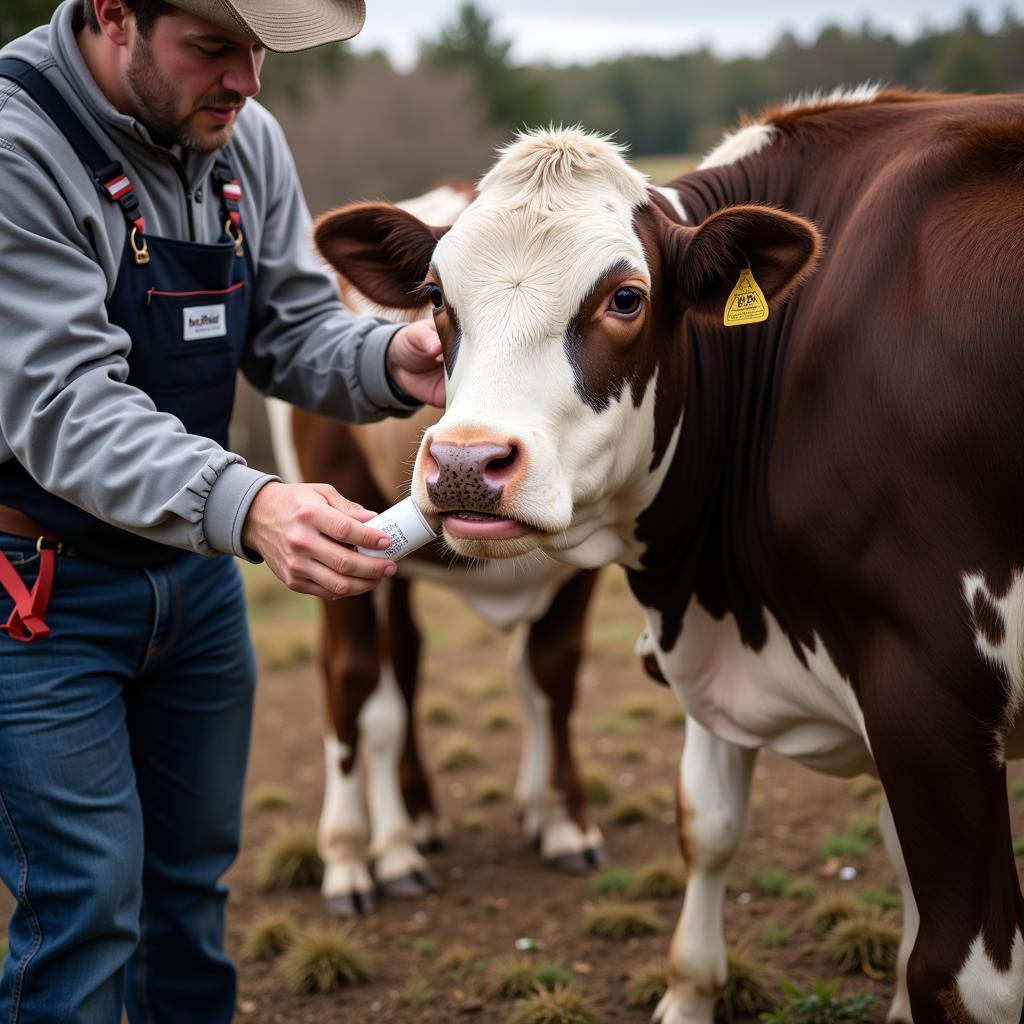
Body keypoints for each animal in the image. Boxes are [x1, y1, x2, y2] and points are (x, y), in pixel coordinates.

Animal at [313, 92, 1024, 1019]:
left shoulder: (922, 702)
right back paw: (366, 856)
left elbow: (952, 961)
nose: (465, 462)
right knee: (362, 684)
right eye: (435, 294)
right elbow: (711, 826)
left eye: (625, 297)